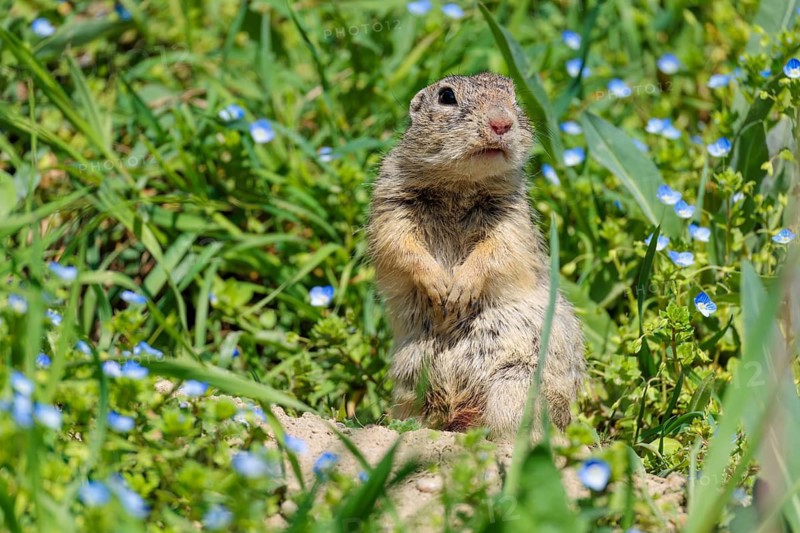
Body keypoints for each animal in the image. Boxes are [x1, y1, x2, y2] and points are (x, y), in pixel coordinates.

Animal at [367, 72, 585, 439]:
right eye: (446, 96)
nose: (502, 123)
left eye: (514, 98)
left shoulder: (510, 217)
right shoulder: (392, 201)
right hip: (411, 381)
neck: (460, 184)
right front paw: (438, 286)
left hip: (515, 382)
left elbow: (497, 251)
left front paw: (459, 289)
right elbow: (399, 244)